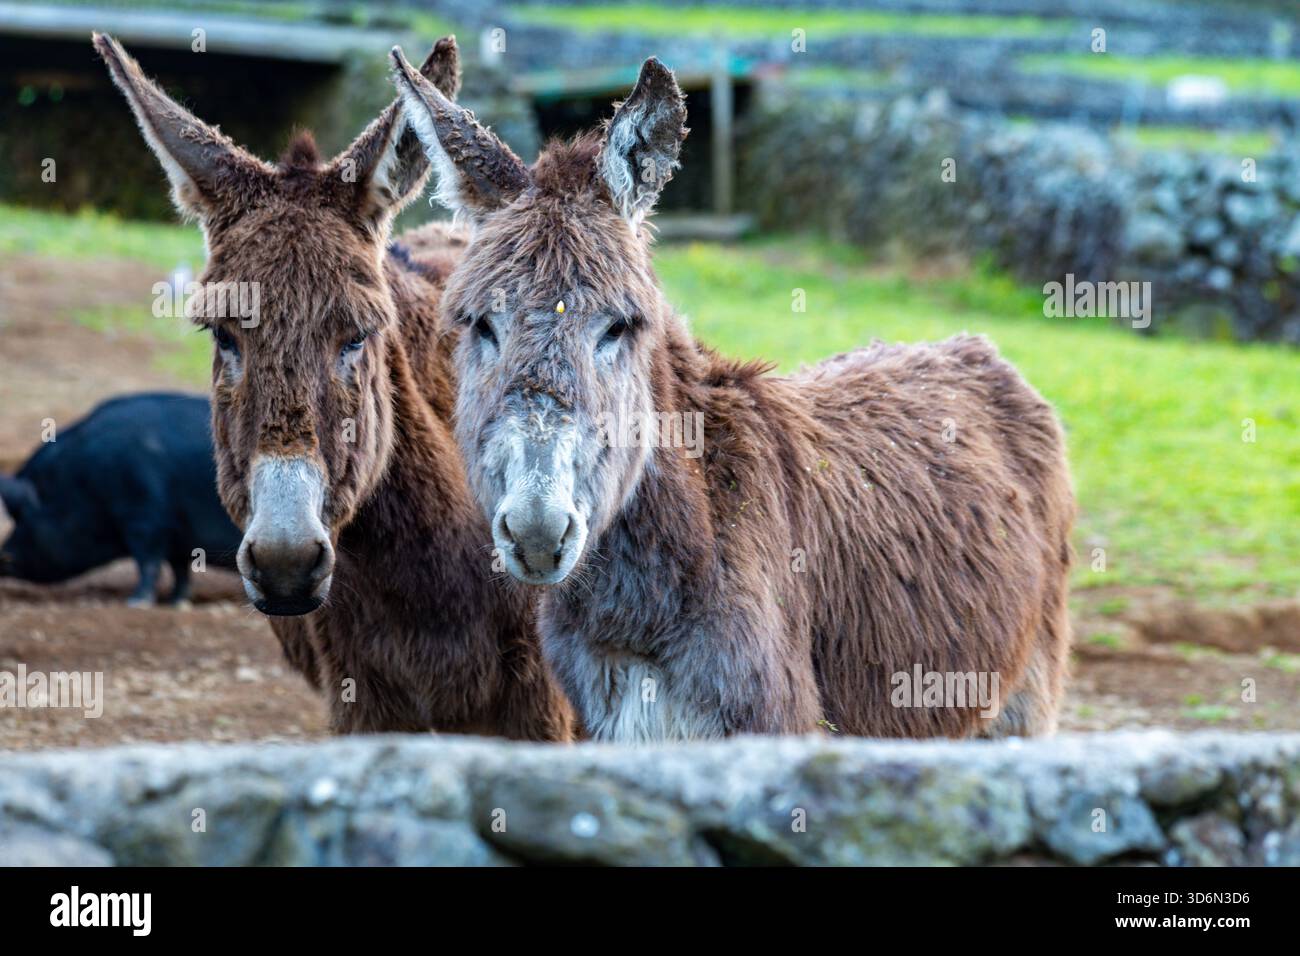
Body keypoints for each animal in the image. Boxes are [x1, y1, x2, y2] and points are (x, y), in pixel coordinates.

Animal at [0, 393, 241, 606]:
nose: (4, 556)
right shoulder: (175, 535)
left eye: (23, 514)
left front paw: (136, 602)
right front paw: (175, 602)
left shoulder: (144, 518)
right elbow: (178, 568)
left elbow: (148, 562)